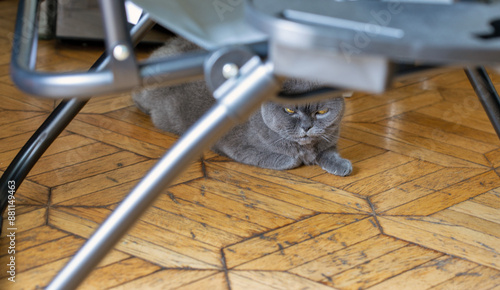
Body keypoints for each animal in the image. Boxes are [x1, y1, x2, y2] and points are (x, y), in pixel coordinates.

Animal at [133, 38, 352, 177]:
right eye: (290, 110)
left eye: (321, 112)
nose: (307, 127)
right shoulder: (235, 146)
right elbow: (290, 160)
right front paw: (299, 158)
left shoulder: (330, 139)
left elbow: (329, 151)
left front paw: (342, 165)